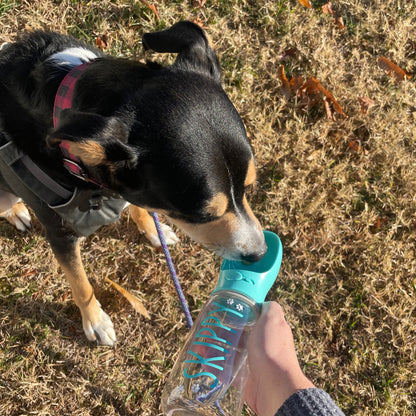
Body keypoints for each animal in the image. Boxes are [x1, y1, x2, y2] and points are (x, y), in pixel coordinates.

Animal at [0, 21, 266, 346]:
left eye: (247, 187)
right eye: (202, 215)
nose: (259, 254)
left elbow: (139, 206)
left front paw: (154, 230)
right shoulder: (60, 235)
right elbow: (81, 283)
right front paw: (96, 322)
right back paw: (15, 211)